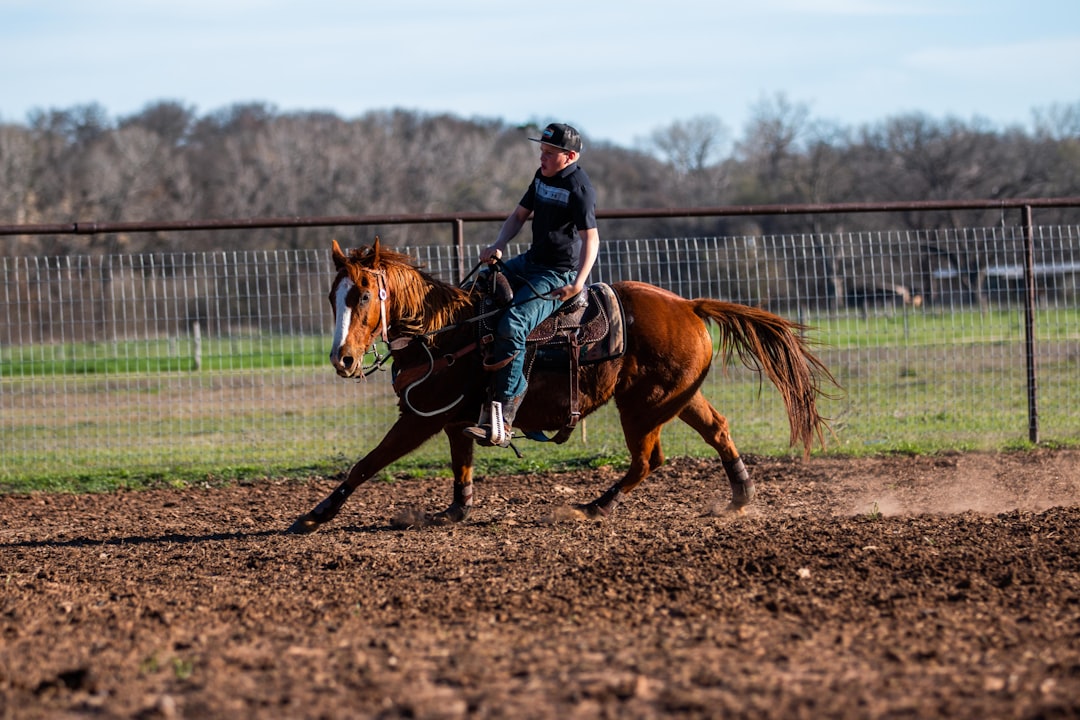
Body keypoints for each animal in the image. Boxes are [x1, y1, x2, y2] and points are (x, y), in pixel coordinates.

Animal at [287, 239, 833, 533]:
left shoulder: (421, 419)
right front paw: (456, 511)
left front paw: (313, 516)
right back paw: (740, 494)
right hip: (677, 396)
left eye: (362, 295)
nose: (343, 359)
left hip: (643, 407)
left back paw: (593, 506)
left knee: (648, 460)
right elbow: (462, 466)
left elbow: (366, 463)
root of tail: (689, 305)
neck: (446, 330)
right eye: (333, 296)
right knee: (715, 428)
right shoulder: (454, 421)